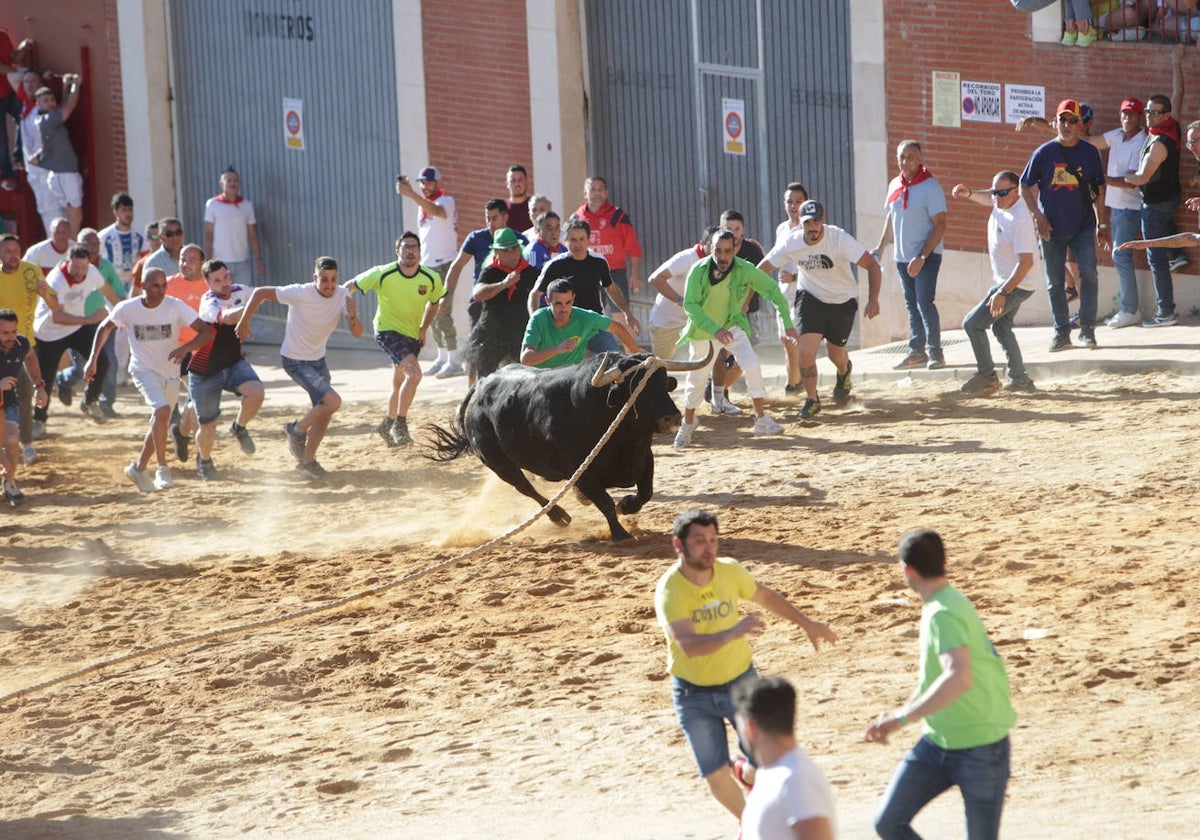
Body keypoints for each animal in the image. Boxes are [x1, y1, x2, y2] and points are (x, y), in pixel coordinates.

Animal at [424, 345, 710, 537]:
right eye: (637, 388)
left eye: (663, 382)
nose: (672, 418)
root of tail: (482, 383)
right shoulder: (581, 471)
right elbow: (605, 502)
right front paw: (620, 533)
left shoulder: (643, 457)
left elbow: (645, 492)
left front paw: (626, 505)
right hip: (498, 463)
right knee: (525, 487)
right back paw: (559, 516)